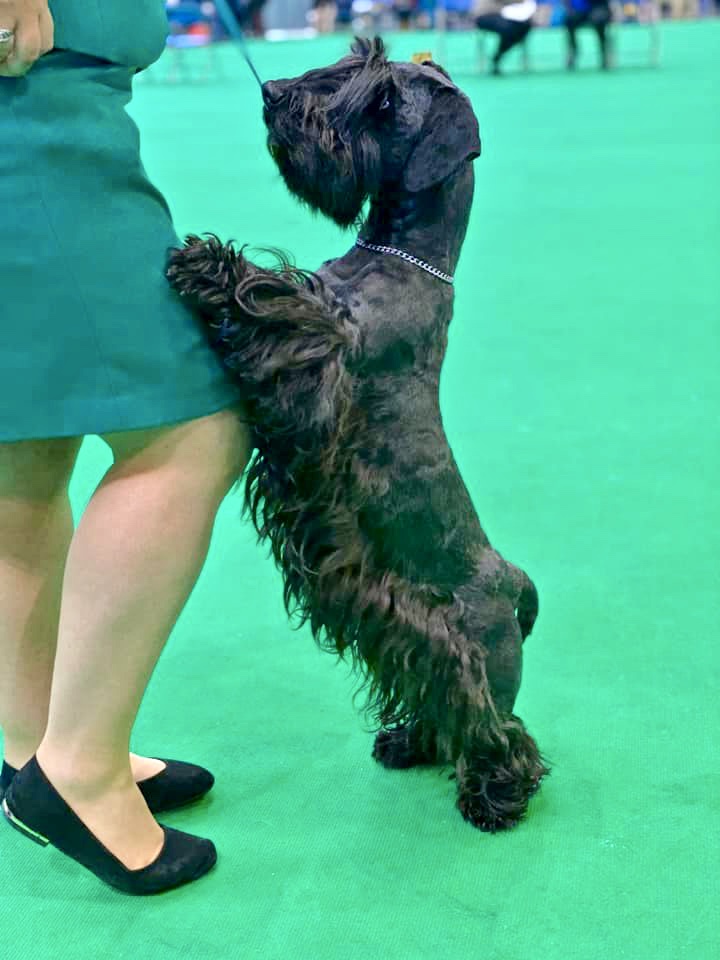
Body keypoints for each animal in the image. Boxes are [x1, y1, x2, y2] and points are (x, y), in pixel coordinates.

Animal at [167, 39, 552, 832]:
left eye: (382, 98)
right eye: (351, 64)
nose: (276, 95)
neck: (405, 260)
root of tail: (514, 582)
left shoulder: (316, 362)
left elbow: (267, 296)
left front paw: (208, 261)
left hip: (476, 657)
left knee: (496, 725)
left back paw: (494, 795)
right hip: (400, 630)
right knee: (440, 702)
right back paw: (408, 742)